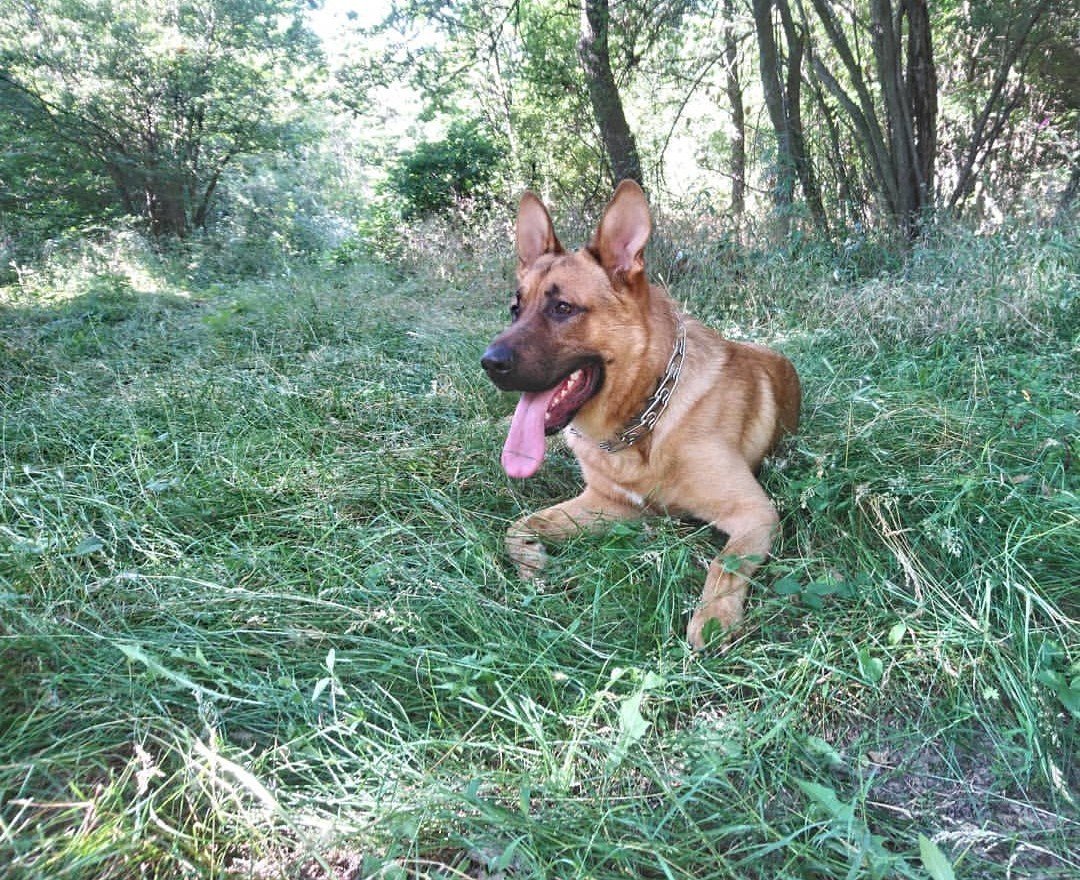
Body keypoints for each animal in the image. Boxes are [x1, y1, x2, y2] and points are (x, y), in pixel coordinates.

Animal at [481, 181, 800, 649]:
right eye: (515, 309)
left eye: (563, 308)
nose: (488, 363)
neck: (644, 423)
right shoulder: (608, 505)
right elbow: (518, 525)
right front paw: (532, 562)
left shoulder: (755, 513)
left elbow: (725, 564)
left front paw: (712, 619)